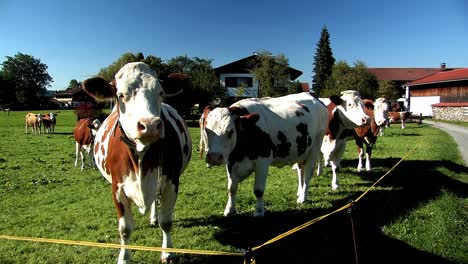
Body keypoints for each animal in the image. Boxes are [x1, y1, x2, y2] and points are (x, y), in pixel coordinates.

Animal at [81, 62, 191, 264]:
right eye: (121, 95)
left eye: (160, 92)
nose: (150, 125)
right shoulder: (117, 188)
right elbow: (125, 228)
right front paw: (124, 258)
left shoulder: (171, 182)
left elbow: (166, 221)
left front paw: (167, 252)